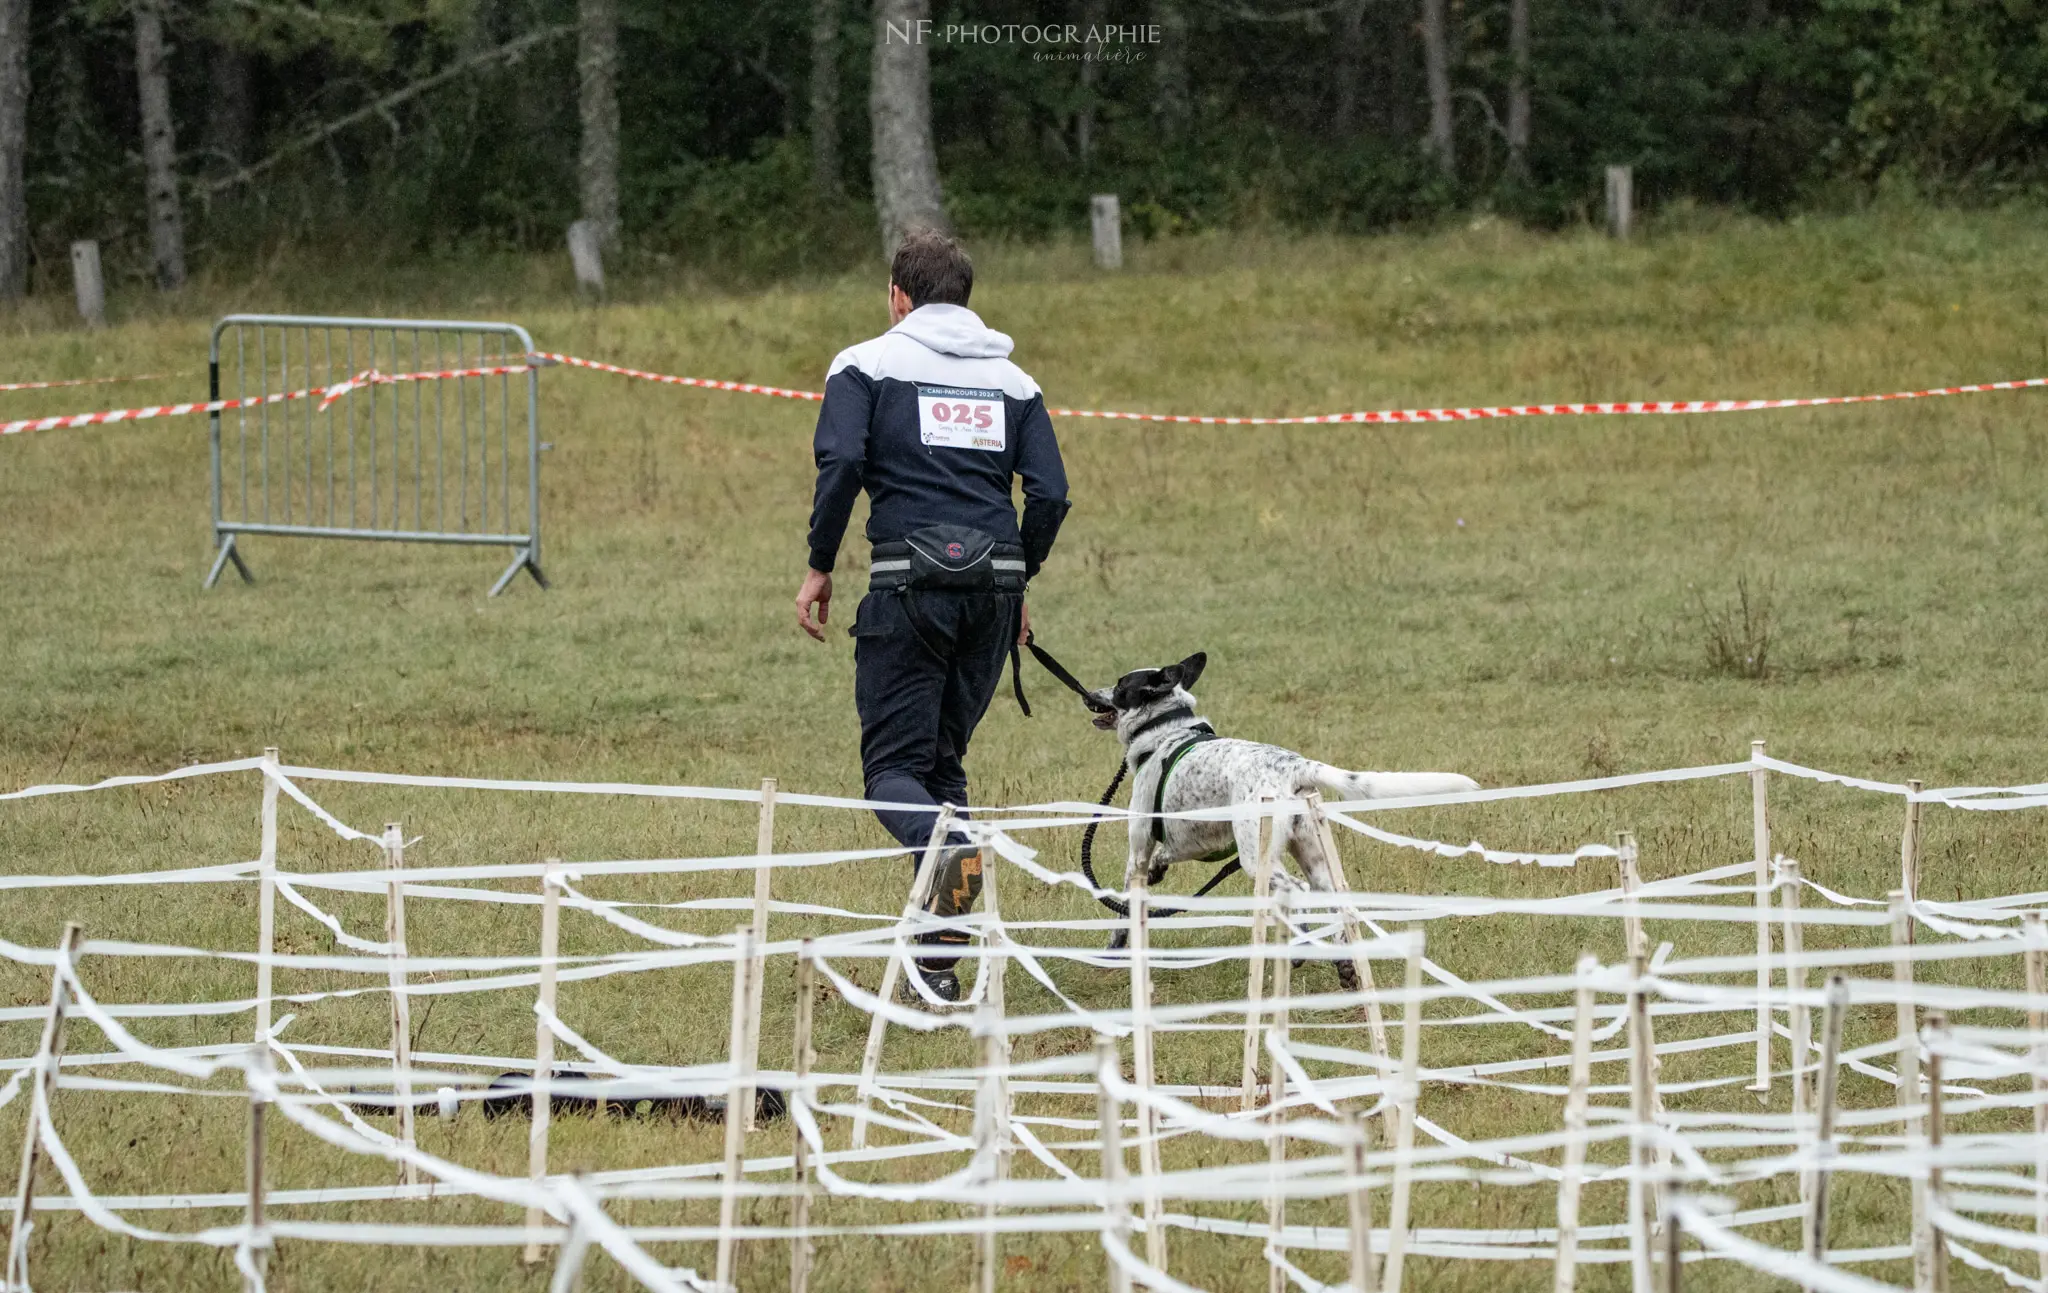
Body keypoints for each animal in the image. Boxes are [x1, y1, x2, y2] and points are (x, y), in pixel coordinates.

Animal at [1097, 655, 1482, 979]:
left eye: (1120, 685)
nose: (1093, 695)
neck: (1165, 732)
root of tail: (1295, 765)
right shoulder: (1191, 841)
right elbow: (1167, 857)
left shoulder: (1139, 849)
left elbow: (1124, 910)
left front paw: (1112, 953)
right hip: (1314, 856)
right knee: (1332, 901)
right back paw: (1343, 961)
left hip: (1257, 859)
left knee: (1297, 891)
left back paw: (1299, 950)